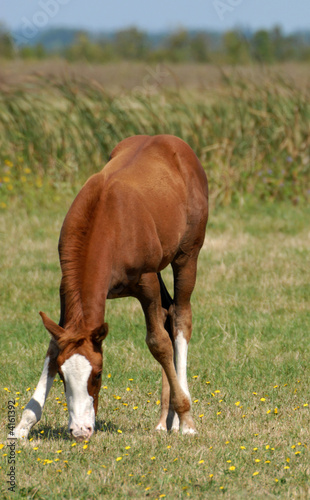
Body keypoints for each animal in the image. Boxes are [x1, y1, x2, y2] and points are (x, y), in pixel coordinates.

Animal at [12, 134, 208, 442]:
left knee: (180, 319)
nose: (81, 431)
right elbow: (54, 346)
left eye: (98, 374)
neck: (107, 221)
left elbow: (159, 343)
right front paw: (23, 425)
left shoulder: (146, 282)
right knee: (168, 313)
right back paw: (164, 420)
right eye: (63, 376)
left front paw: (187, 419)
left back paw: (180, 419)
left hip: (187, 256)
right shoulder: (65, 290)